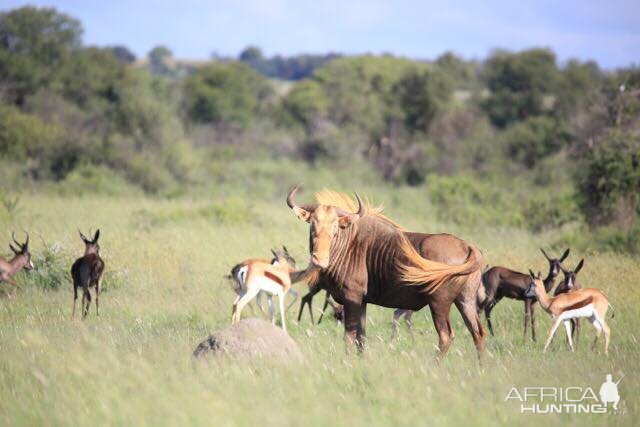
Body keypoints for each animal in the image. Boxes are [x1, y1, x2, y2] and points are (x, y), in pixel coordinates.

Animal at [286, 186, 484, 358]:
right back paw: (481, 368)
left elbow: (349, 337)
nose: (319, 260)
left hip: (439, 303)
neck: (348, 244)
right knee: (478, 333)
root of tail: (467, 246)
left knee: (445, 336)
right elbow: (361, 338)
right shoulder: (362, 302)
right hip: (465, 301)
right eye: (312, 225)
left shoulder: (352, 298)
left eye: (335, 228)